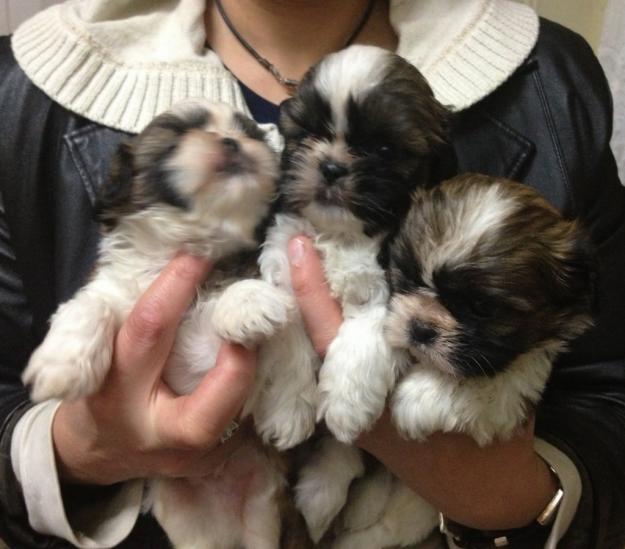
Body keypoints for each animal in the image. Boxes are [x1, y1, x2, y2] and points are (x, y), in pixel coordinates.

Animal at [23, 100, 306, 544]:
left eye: (250, 135)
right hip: (187, 521)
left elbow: (288, 326)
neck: (194, 245)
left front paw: (287, 411)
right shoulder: (116, 288)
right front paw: (61, 367)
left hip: (264, 515)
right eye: (177, 136)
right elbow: (91, 305)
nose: (231, 142)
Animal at [332, 172, 596, 548]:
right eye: (408, 277)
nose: (421, 328)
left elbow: (498, 381)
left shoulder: (518, 384)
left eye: (482, 308)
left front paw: (419, 396)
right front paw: (348, 391)